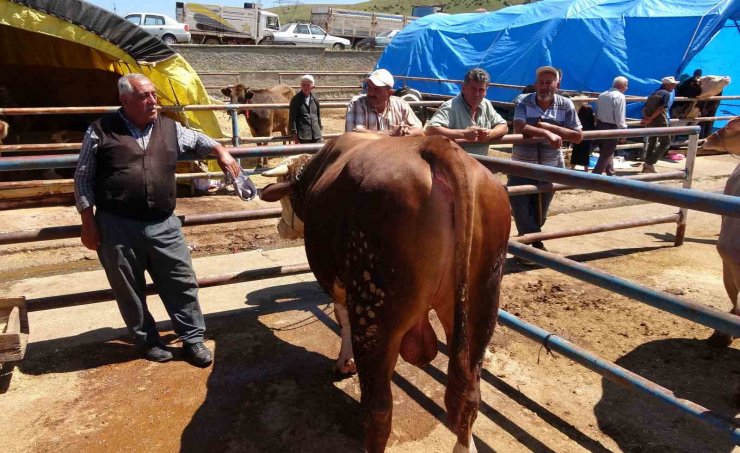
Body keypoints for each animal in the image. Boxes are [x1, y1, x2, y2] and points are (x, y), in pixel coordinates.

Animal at [258, 132, 508, 450]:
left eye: (285, 199)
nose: (280, 227)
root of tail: (436, 146)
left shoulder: (340, 283)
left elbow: (342, 319)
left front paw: (345, 363)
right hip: (480, 305)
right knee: (469, 394)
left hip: (374, 308)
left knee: (378, 407)